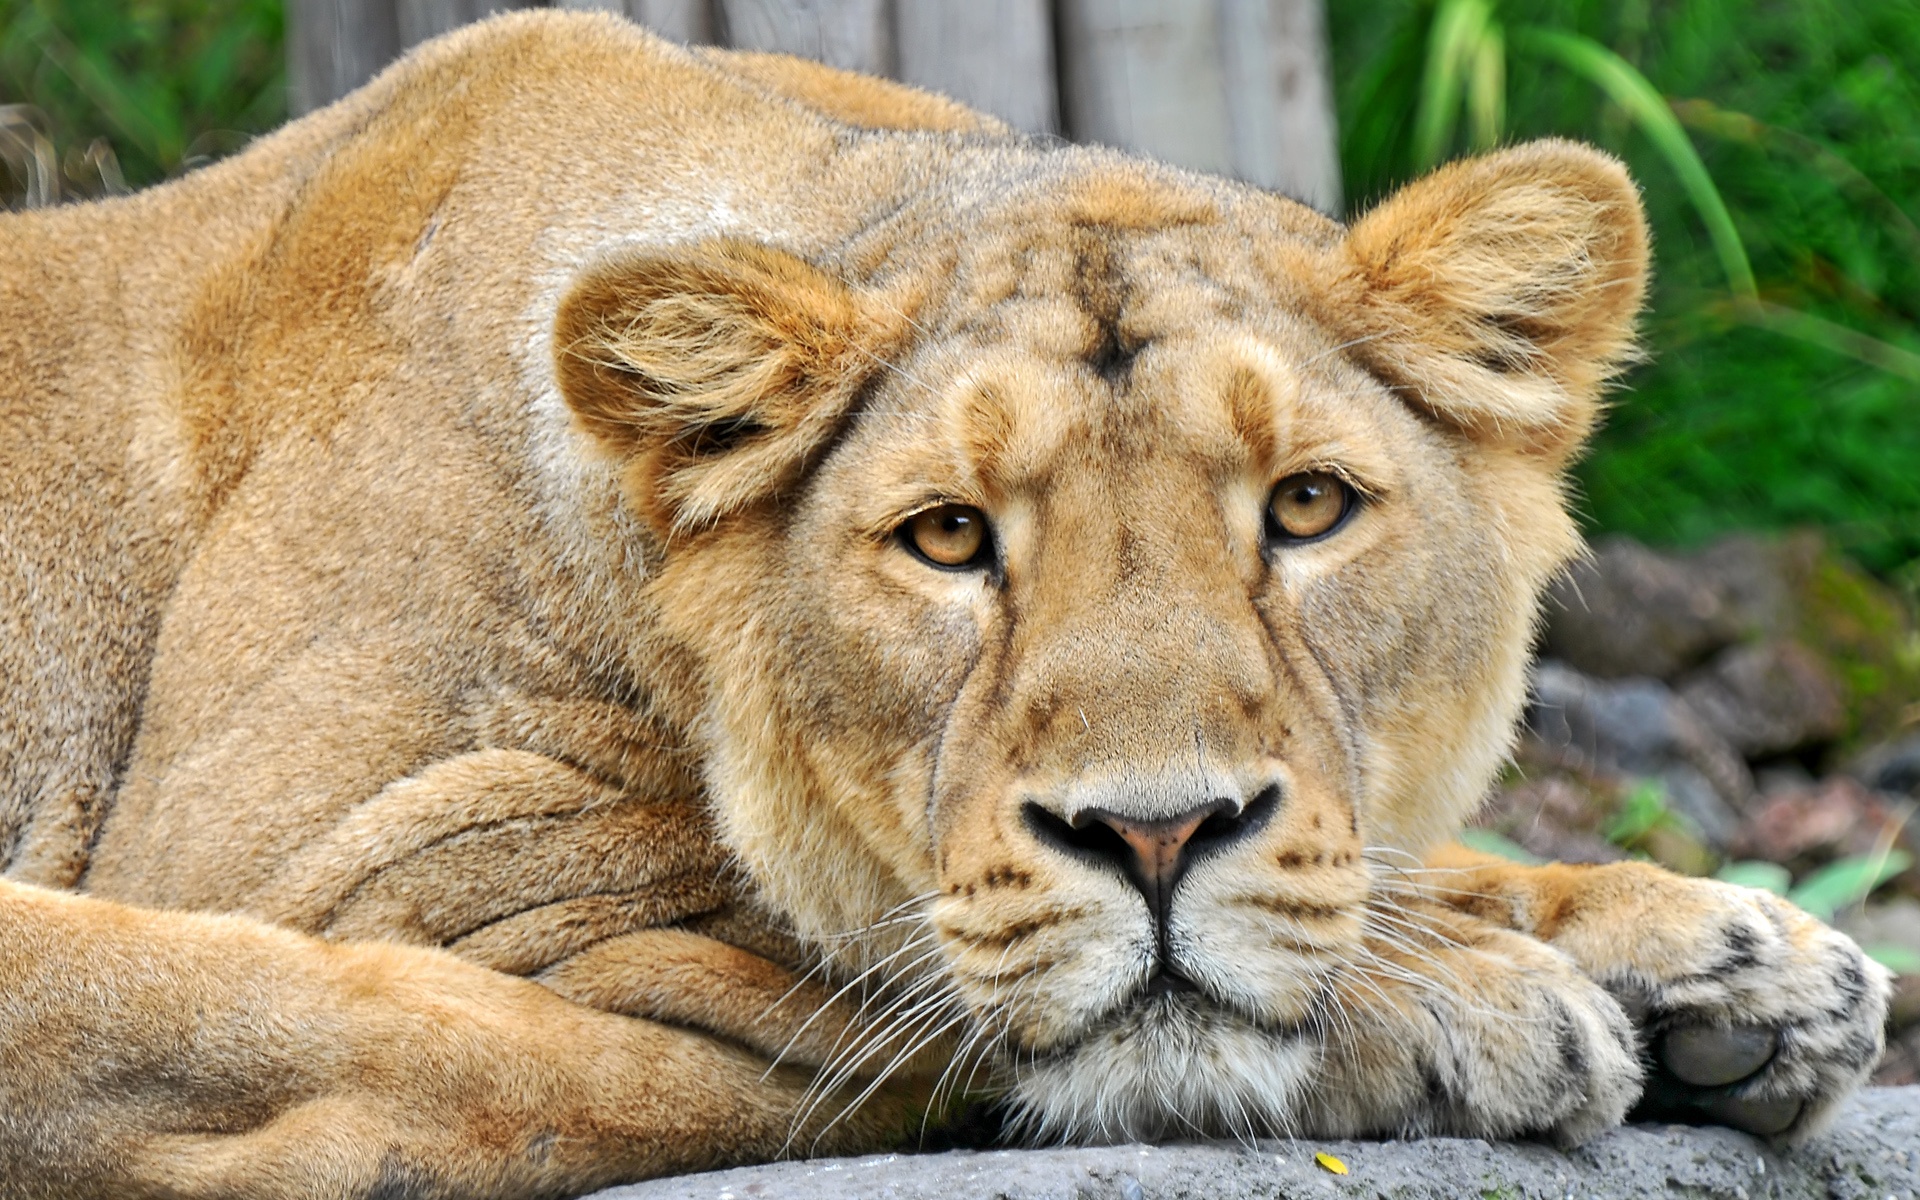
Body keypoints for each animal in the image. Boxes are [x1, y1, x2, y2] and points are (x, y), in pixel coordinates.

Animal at [0, 12, 1890, 1198]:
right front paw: (1470, 1002)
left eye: (1306, 507)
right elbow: (813, 926)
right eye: (948, 540)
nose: (1155, 836)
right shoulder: (331, 838)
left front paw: (1726, 954)